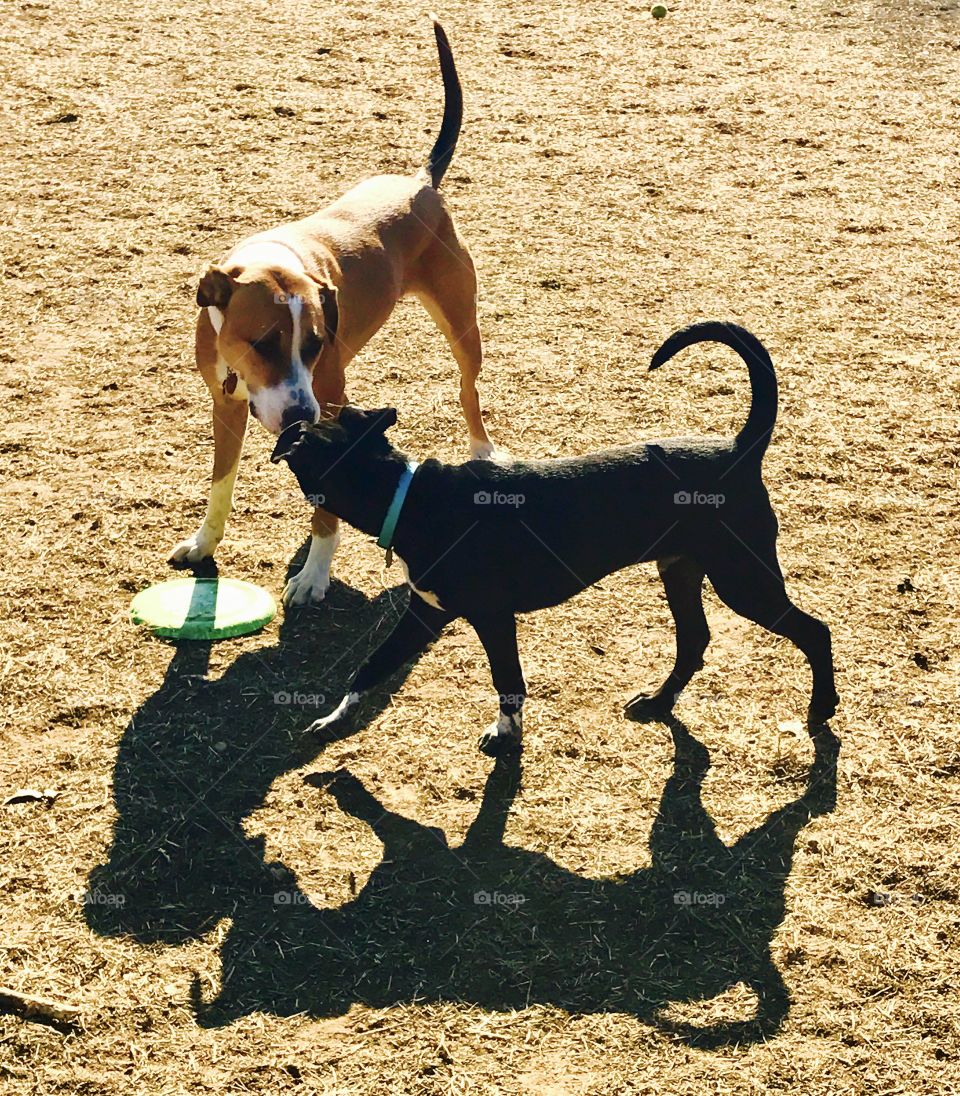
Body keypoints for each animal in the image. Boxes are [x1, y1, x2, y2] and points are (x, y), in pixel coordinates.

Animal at [168, 17, 495, 604]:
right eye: (261, 343)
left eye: (314, 344)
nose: (301, 415)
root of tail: (420, 182)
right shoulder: (225, 406)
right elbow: (221, 482)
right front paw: (205, 543)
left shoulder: (329, 399)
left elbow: (326, 504)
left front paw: (315, 574)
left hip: (461, 323)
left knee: (468, 389)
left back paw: (481, 449)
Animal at [269, 320, 832, 758]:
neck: (408, 498)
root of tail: (741, 449)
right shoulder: (424, 614)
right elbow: (371, 666)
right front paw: (335, 720)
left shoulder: (492, 617)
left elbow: (508, 681)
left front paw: (505, 735)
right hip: (681, 570)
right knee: (694, 640)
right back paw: (658, 702)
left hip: (744, 579)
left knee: (815, 632)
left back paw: (823, 707)